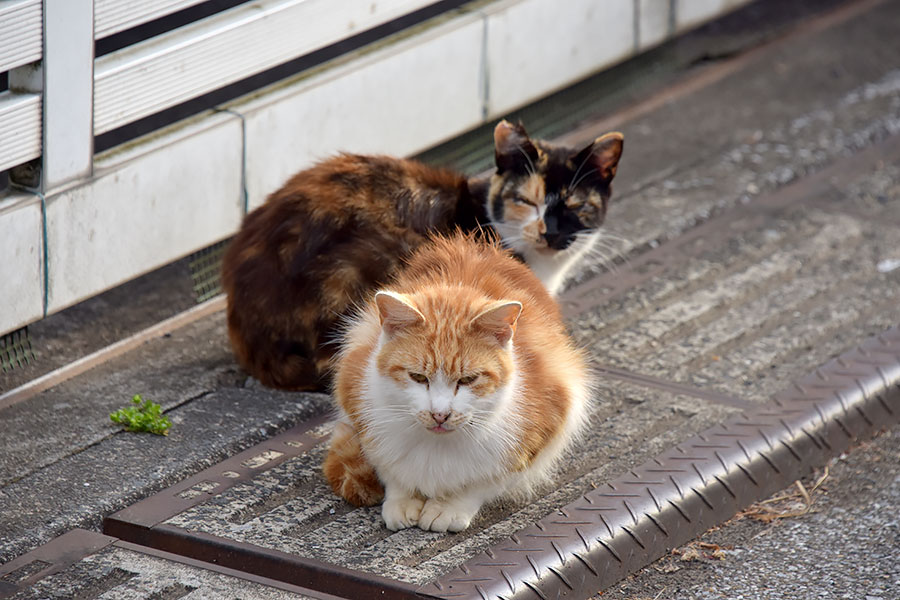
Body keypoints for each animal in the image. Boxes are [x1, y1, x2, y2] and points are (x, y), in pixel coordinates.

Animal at [324, 234, 592, 536]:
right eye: (418, 377)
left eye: (468, 380)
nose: (440, 414)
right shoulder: (355, 393)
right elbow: (389, 467)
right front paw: (402, 498)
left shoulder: (546, 422)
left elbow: (484, 482)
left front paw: (449, 507)